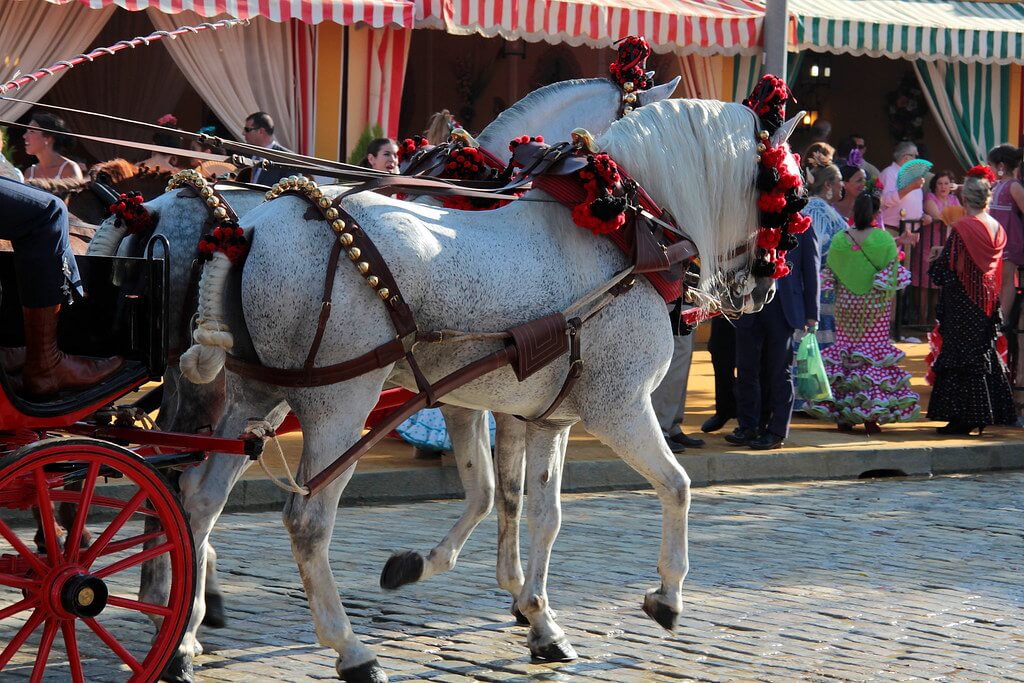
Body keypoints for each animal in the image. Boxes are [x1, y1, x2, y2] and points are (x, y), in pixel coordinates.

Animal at [180, 98, 778, 679]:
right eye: (780, 195)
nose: (763, 286)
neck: (620, 233)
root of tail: (248, 228)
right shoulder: (620, 408)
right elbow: (676, 486)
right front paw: (667, 596)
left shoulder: (545, 416)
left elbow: (536, 511)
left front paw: (538, 619)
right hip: (339, 406)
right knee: (306, 523)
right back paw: (350, 649)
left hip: (258, 394)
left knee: (201, 497)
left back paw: (186, 634)